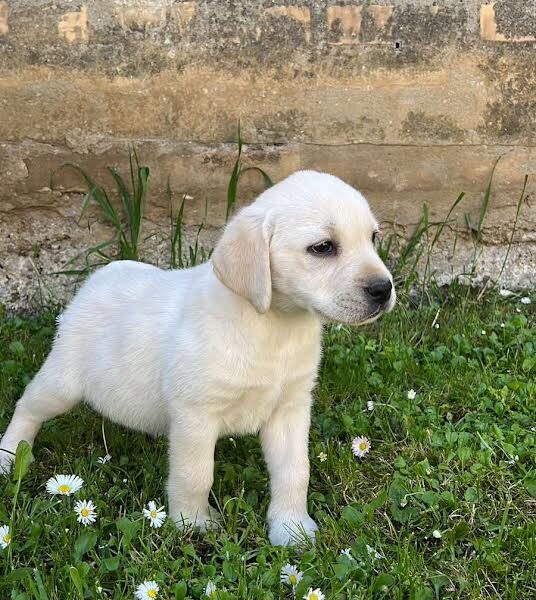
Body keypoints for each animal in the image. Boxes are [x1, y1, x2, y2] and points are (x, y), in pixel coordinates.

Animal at [0, 171, 394, 548]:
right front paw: (193, 524)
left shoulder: (290, 409)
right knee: (27, 407)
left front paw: (291, 529)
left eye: (373, 238)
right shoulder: (196, 414)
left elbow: (295, 472)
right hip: (62, 381)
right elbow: (195, 475)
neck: (272, 324)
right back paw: (8, 457)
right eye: (323, 247)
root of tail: (101, 274)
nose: (384, 288)